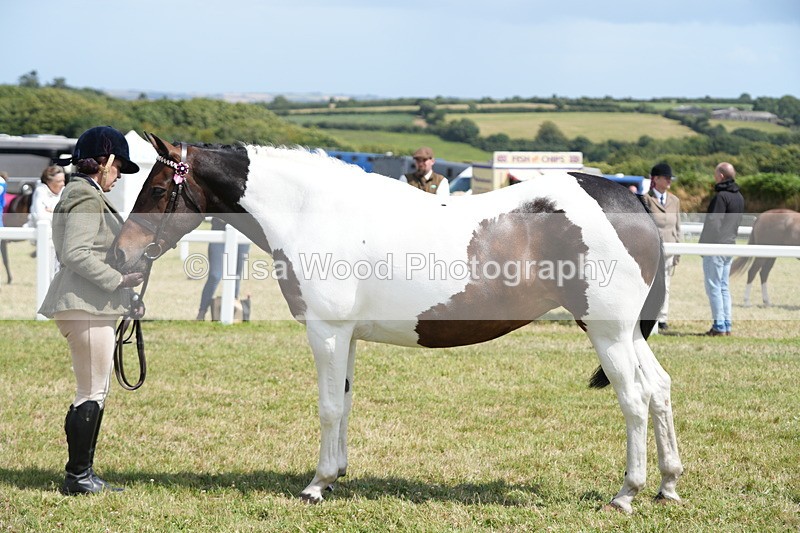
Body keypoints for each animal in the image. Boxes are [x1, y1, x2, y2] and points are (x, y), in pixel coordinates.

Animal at [109, 134, 683, 513]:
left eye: (157, 191)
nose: (121, 254)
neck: (314, 211)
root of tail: (629, 198)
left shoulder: (326, 331)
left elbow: (327, 407)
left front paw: (315, 485)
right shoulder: (347, 337)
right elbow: (344, 404)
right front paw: (336, 476)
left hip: (607, 331)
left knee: (633, 398)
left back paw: (626, 494)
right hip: (622, 332)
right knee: (659, 389)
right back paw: (668, 485)